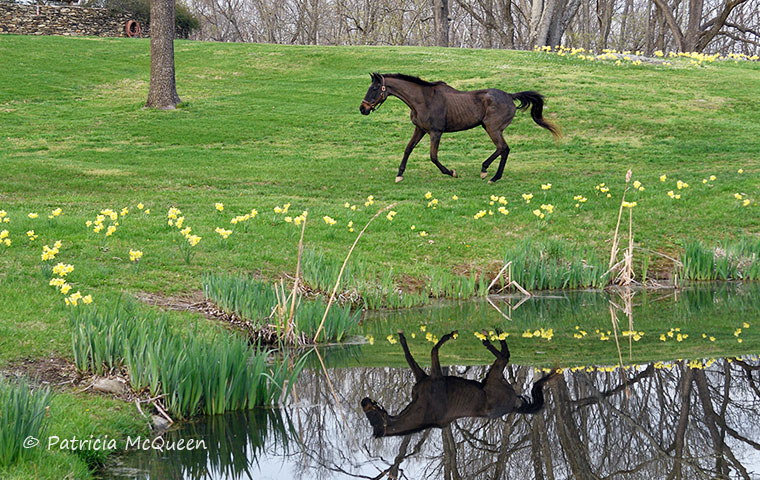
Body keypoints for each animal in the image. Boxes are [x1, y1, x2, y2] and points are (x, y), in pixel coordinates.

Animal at [356, 73, 560, 184]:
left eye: (374, 89)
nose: (362, 109)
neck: (423, 100)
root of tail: (510, 96)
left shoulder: (435, 132)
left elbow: (433, 157)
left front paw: (451, 172)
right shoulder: (420, 130)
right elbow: (408, 149)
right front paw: (399, 175)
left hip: (493, 129)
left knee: (503, 148)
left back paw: (490, 174)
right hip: (491, 128)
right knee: (503, 149)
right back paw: (489, 172)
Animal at [360, 330, 556, 438]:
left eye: (373, 416)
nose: (363, 401)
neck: (424, 409)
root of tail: (514, 405)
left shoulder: (436, 376)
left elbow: (432, 349)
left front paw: (450, 335)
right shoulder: (424, 377)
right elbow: (410, 355)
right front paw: (401, 336)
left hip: (493, 377)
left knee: (505, 356)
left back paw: (488, 338)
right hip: (492, 377)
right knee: (504, 356)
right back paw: (489, 337)